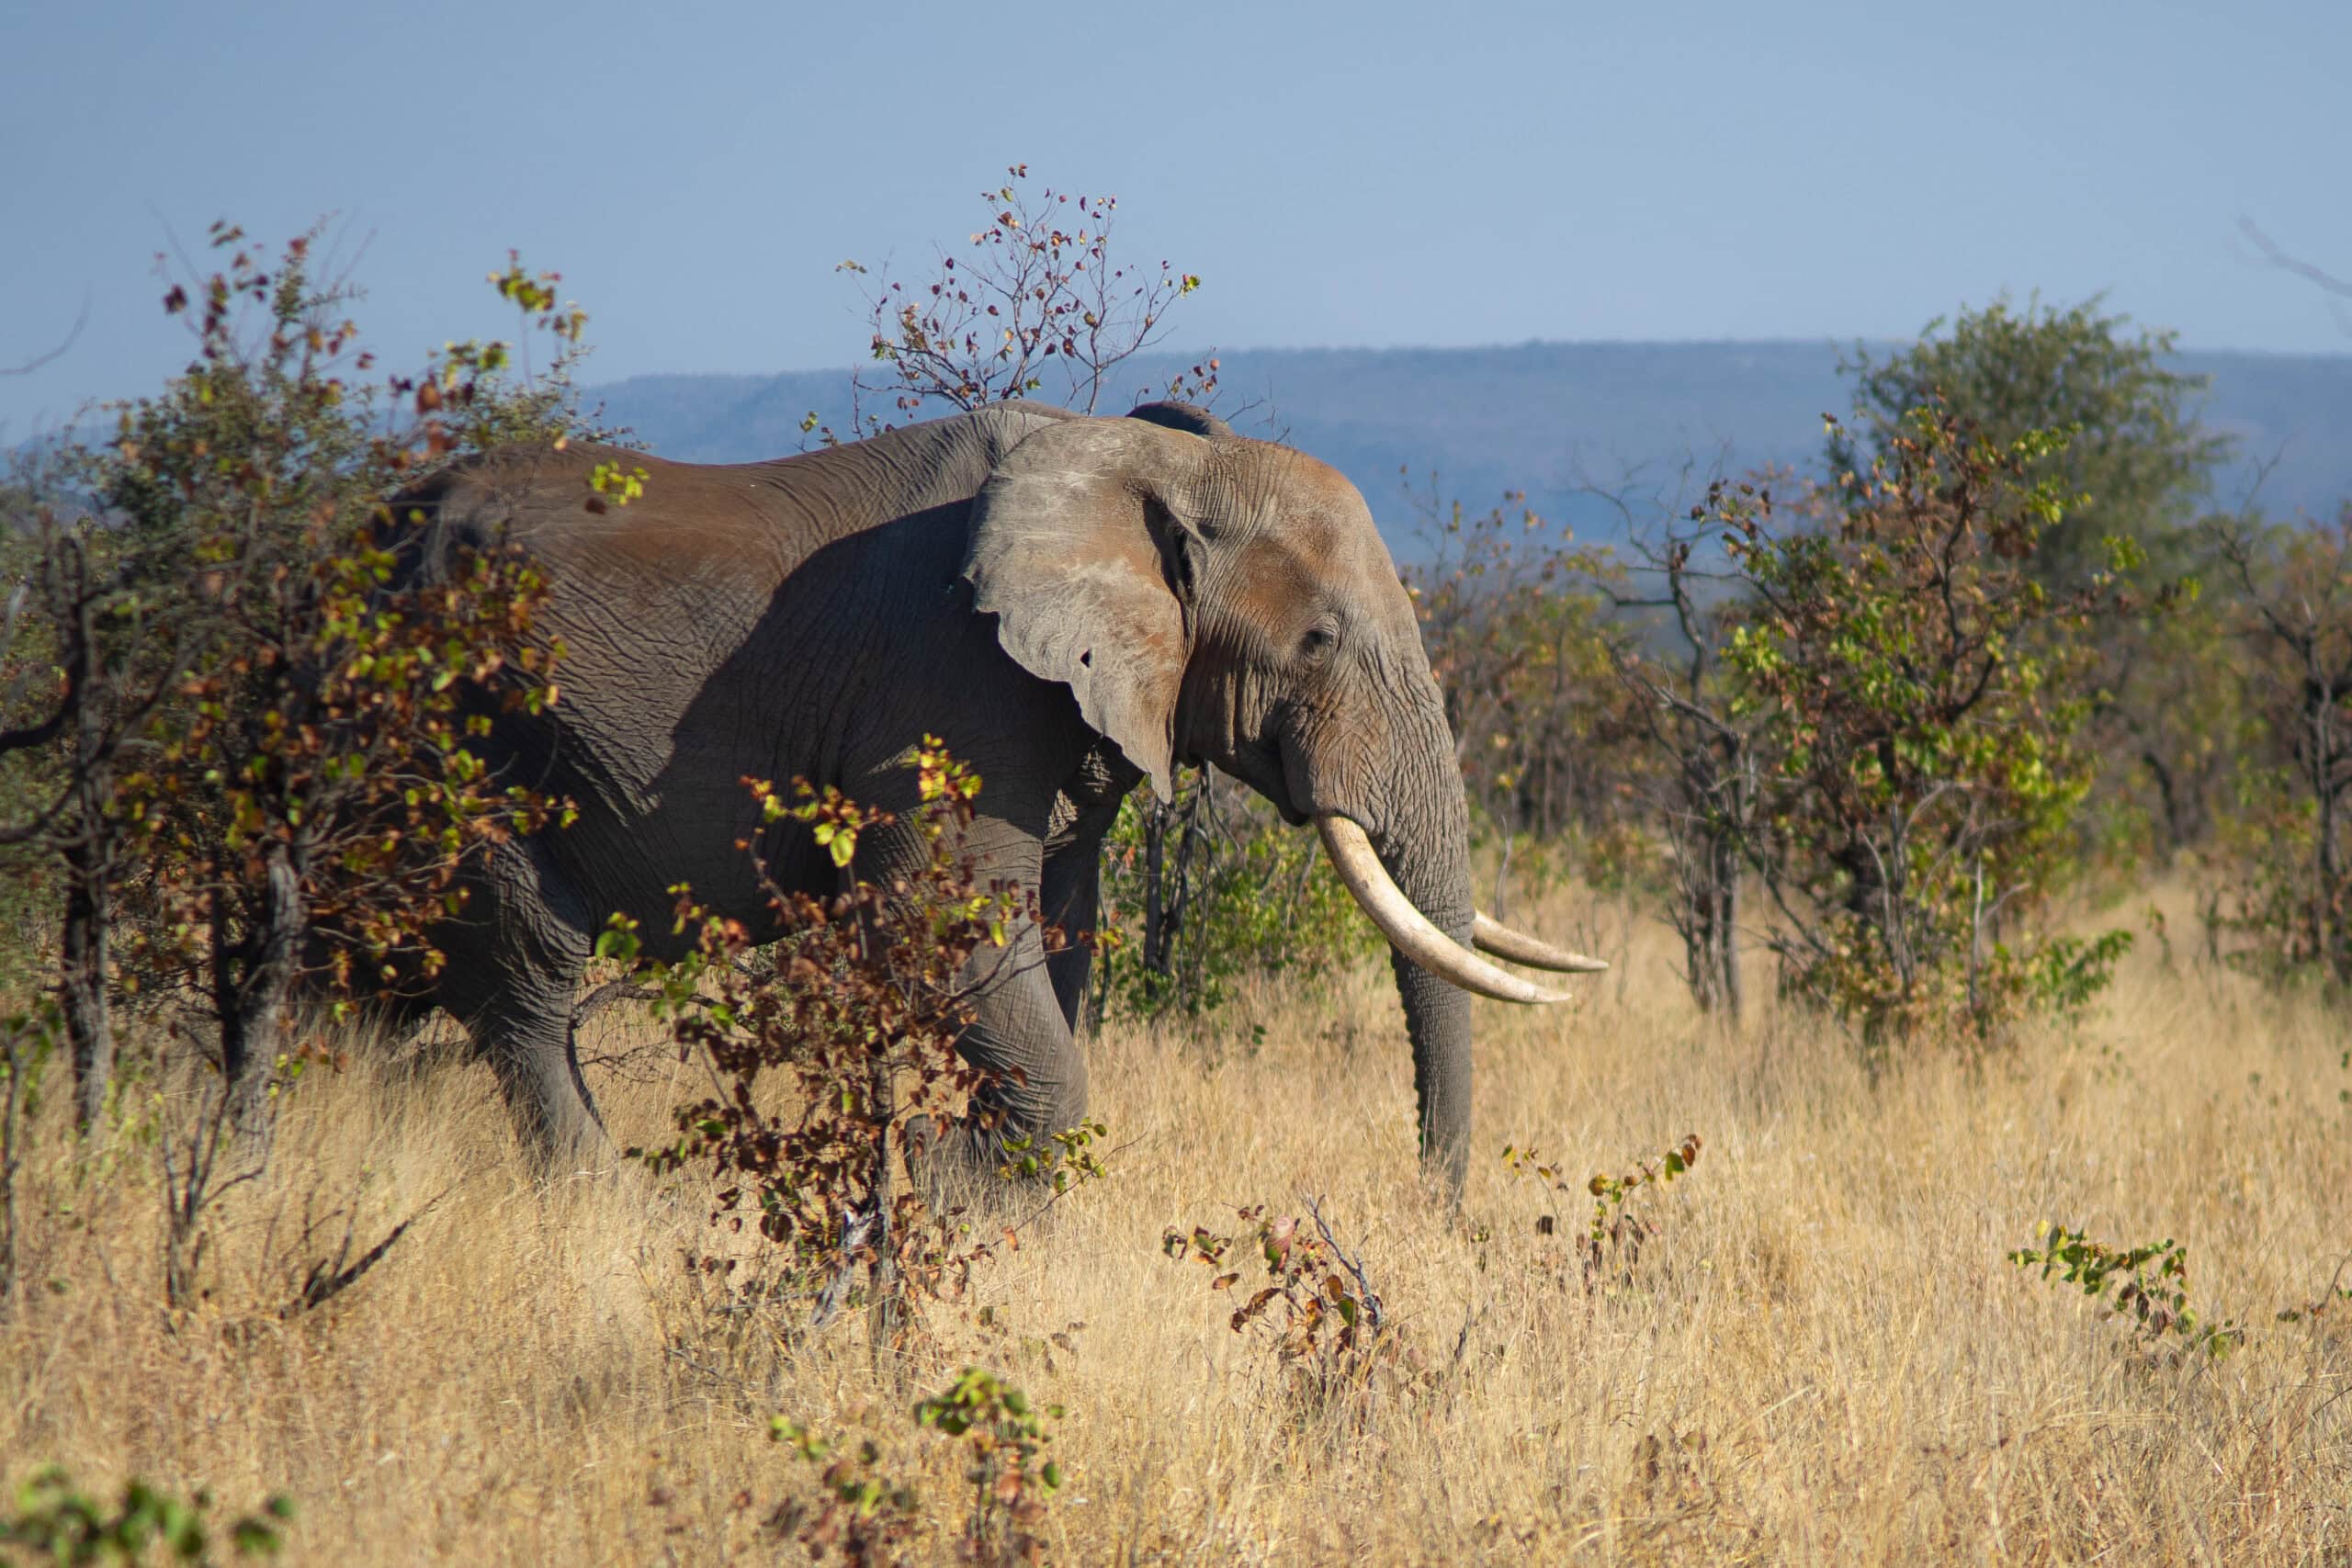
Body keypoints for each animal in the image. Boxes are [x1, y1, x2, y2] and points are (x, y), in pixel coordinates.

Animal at [383, 399, 1603, 1192]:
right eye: (1317, 641)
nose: (1428, 1208)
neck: (1147, 460)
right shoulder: (948, 680)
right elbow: (940, 917)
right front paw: (944, 1177)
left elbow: (1059, 930)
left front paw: (961, 1181)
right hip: (455, 736)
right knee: (527, 974)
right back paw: (609, 1202)